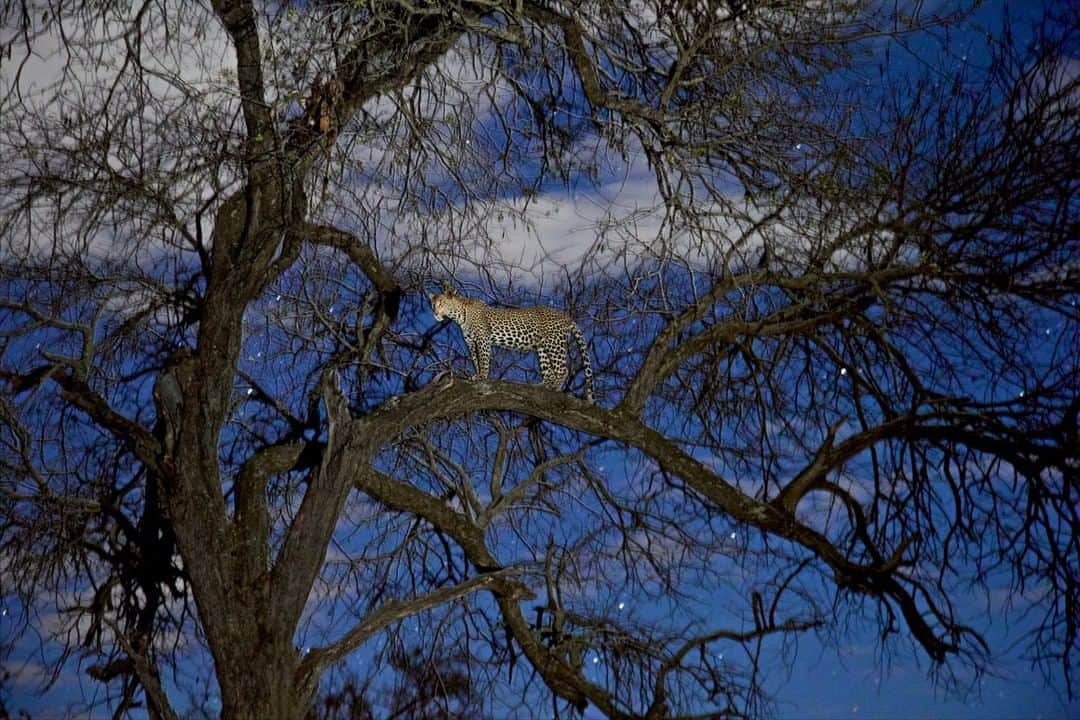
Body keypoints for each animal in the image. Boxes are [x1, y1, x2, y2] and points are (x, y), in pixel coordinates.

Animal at [430, 290, 595, 403]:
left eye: (441, 303)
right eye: (432, 305)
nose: (435, 313)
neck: (459, 315)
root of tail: (566, 316)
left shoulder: (483, 339)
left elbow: (483, 359)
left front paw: (482, 377)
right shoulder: (470, 342)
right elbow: (475, 360)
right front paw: (476, 375)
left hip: (554, 343)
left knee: (562, 369)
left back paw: (555, 388)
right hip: (542, 348)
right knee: (550, 373)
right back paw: (541, 387)